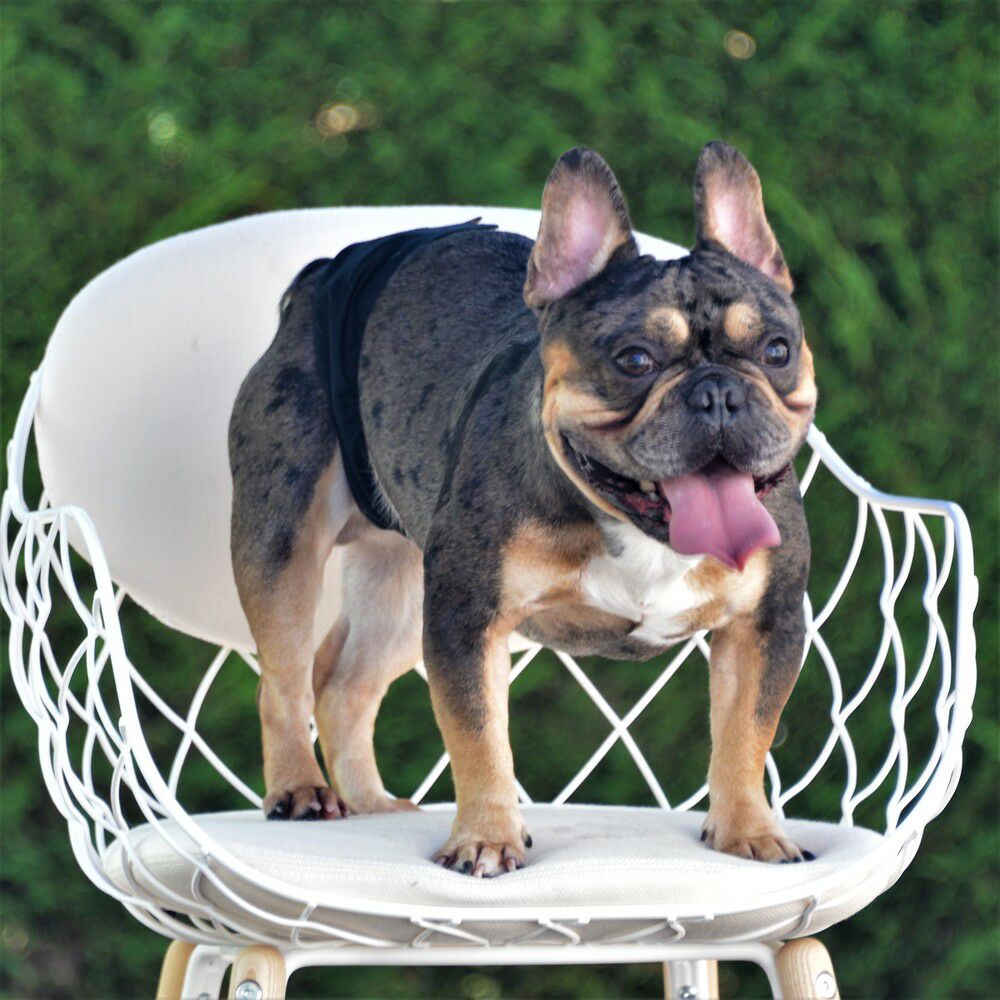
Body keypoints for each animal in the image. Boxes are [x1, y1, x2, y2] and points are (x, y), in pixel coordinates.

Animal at [229, 142, 816, 877]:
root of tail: (320, 276)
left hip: (404, 588)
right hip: (283, 541)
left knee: (345, 684)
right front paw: (485, 839)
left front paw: (750, 833)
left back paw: (370, 804)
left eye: (777, 350)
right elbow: (480, 736)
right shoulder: (466, 618)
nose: (717, 392)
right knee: (282, 678)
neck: (635, 529)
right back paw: (299, 789)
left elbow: (746, 731)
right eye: (634, 360)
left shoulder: (765, 626)